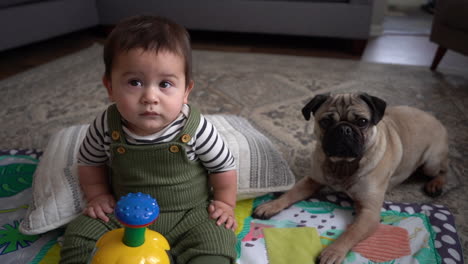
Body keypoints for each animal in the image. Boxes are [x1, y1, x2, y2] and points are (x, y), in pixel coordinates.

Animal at [250, 93, 448, 264]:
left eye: (362, 122)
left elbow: (351, 232)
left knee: (443, 170)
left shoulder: (369, 213)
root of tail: (436, 120)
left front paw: (333, 251)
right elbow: (290, 194)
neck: (343, 165)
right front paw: (271, 205)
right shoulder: (312, 180)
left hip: (430, 162)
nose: (344, 129)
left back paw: (435, 185)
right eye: (326, 121)